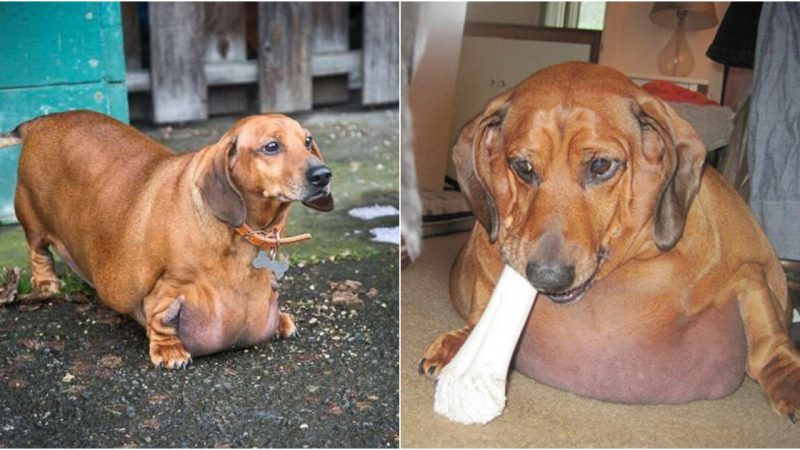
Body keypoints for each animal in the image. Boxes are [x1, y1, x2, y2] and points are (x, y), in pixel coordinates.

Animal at [15, 110, 334, 368]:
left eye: (308, 141)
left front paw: (281, 320)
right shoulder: (168, 290)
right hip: (32, 218)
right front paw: (170, 351)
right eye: (271, 146)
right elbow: (160, 320)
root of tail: (42, 121)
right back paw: (46, 283)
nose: (323, 175)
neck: (242, 234)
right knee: (37, 251)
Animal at [422, 61, 796, 420]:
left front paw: (787, 378)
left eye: (601, 165)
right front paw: (460, 344)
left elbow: (768, 345)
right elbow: (479, 314)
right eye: (523, 166)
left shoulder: (747, 277)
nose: (547, 277)